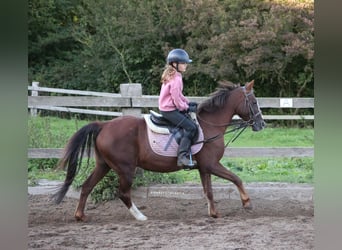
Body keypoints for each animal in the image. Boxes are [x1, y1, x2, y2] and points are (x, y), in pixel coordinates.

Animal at [52, 79, 264, 221]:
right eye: (254, 102)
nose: (261, 124)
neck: (210, 125)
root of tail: (103, 125)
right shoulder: (212, 164)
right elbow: (236, 178)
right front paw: (247, 203)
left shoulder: (204, 168)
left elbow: (209, 191)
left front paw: (214, 213)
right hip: (125, 169)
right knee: (123, 193)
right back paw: (140, 216)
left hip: (104, 165)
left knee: (87, 186)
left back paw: (80, 215)